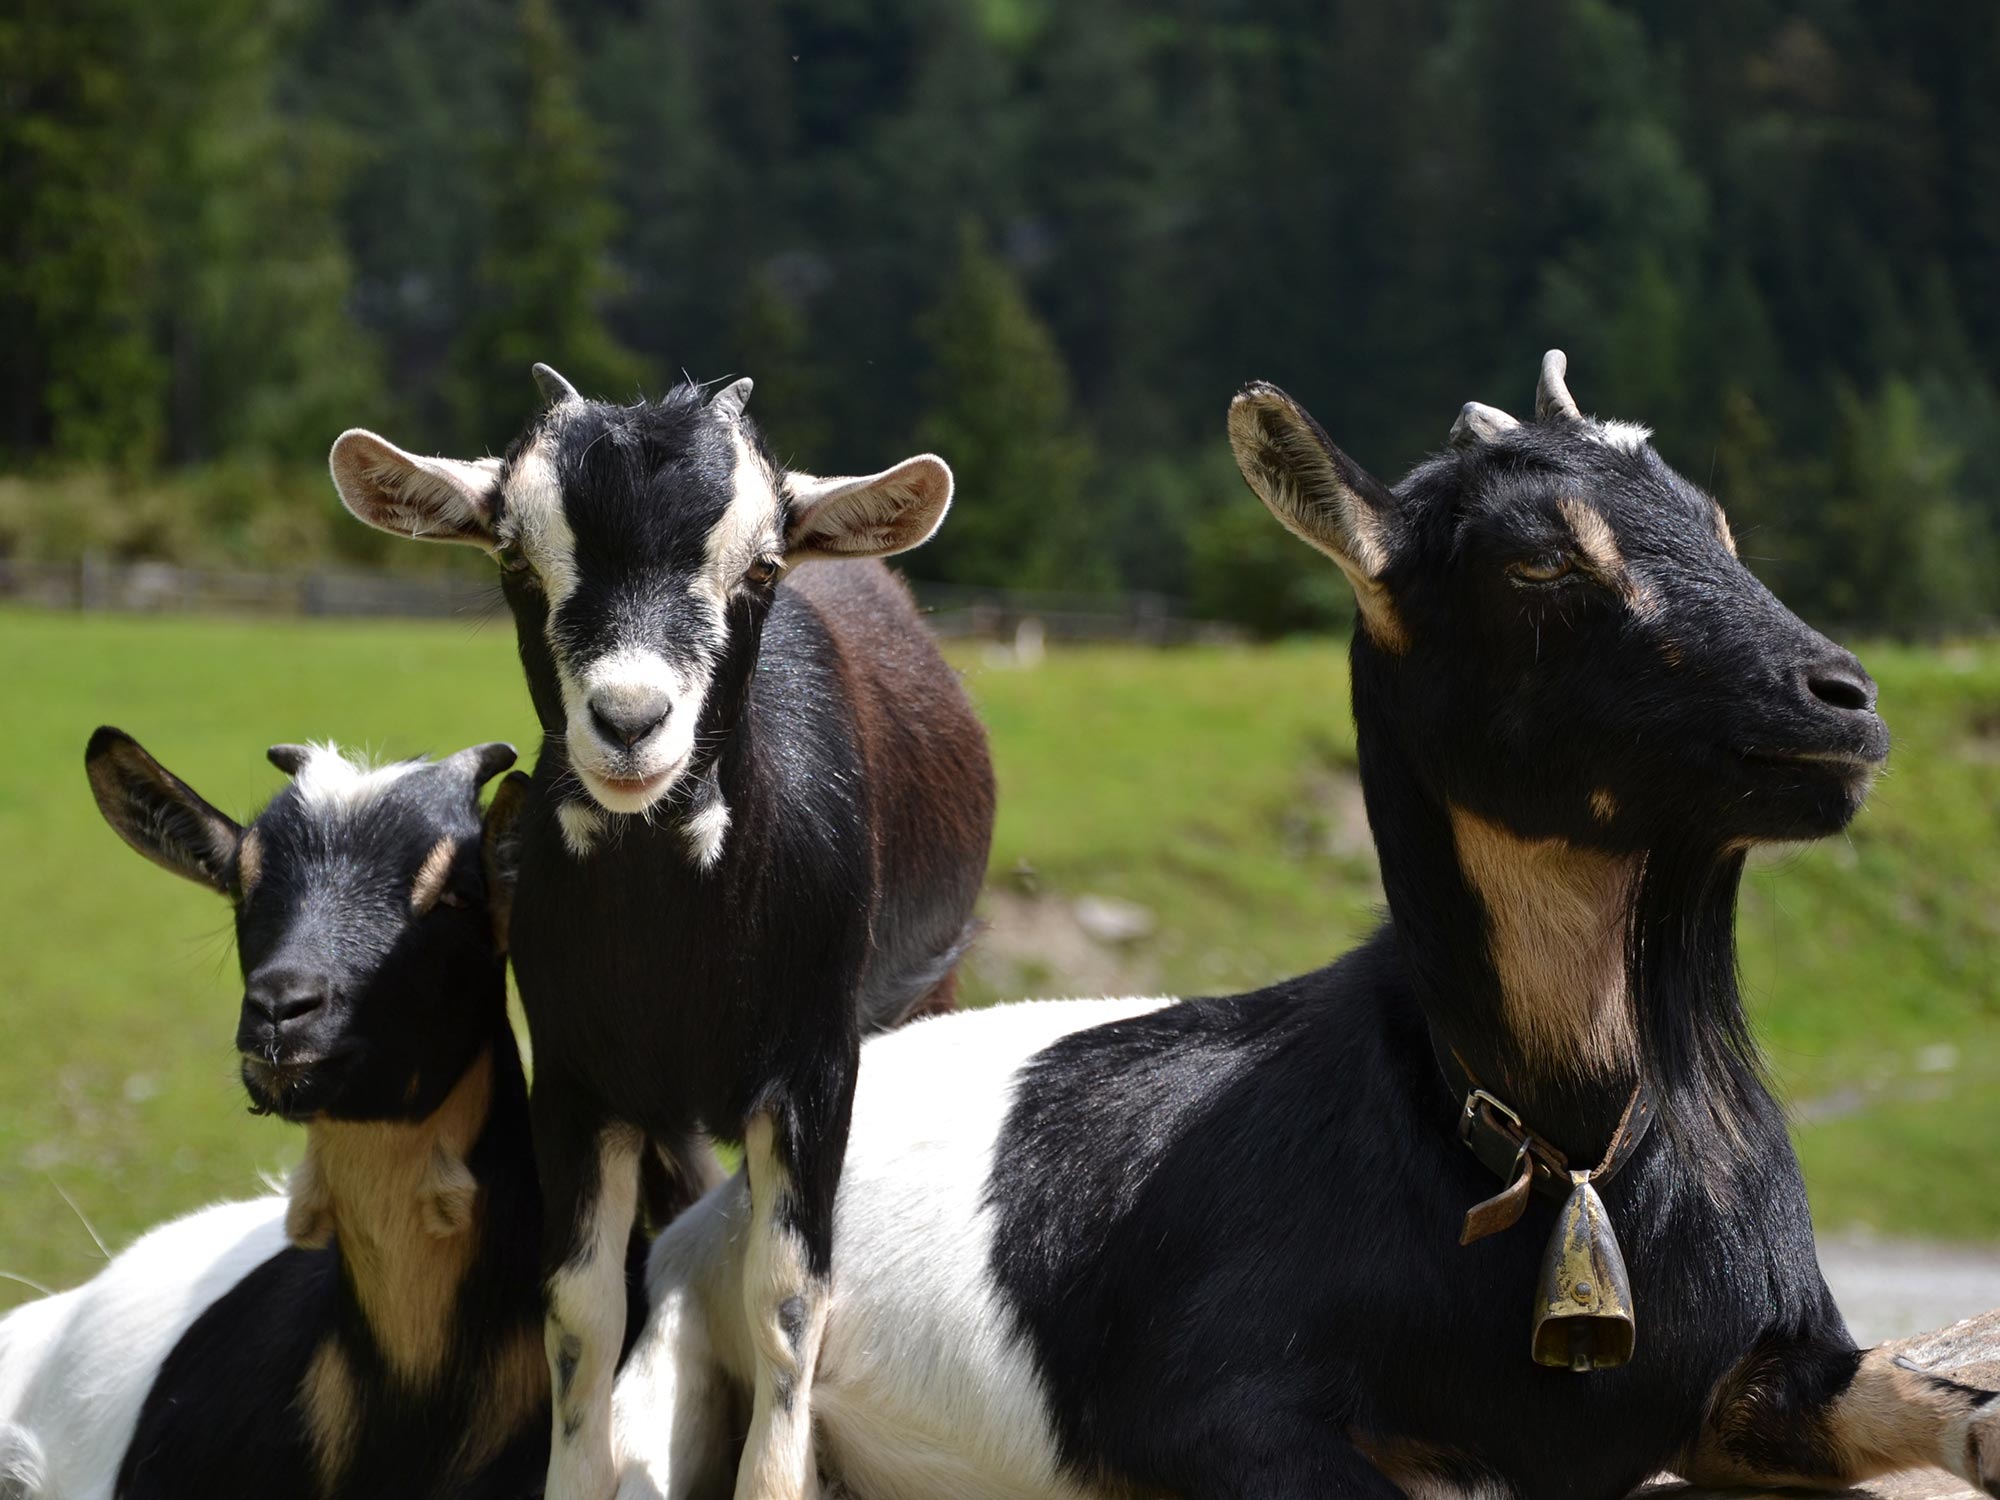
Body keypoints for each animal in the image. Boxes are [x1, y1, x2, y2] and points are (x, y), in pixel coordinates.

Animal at [326, 368, 1000, 1500]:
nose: (631, 721)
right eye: (514, 559)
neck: (679, 962)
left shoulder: (815, 1069)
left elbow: (786, 1302)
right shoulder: (575, 1077)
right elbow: (580, 1312)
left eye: (762, 567)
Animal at [612, 358, 2000, 1500]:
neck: (1557, 1147)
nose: (1840, 699)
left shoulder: (1754, 1377)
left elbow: (1923, 1394)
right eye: (1538, 565)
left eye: (1718, 526)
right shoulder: (1207, 1410)